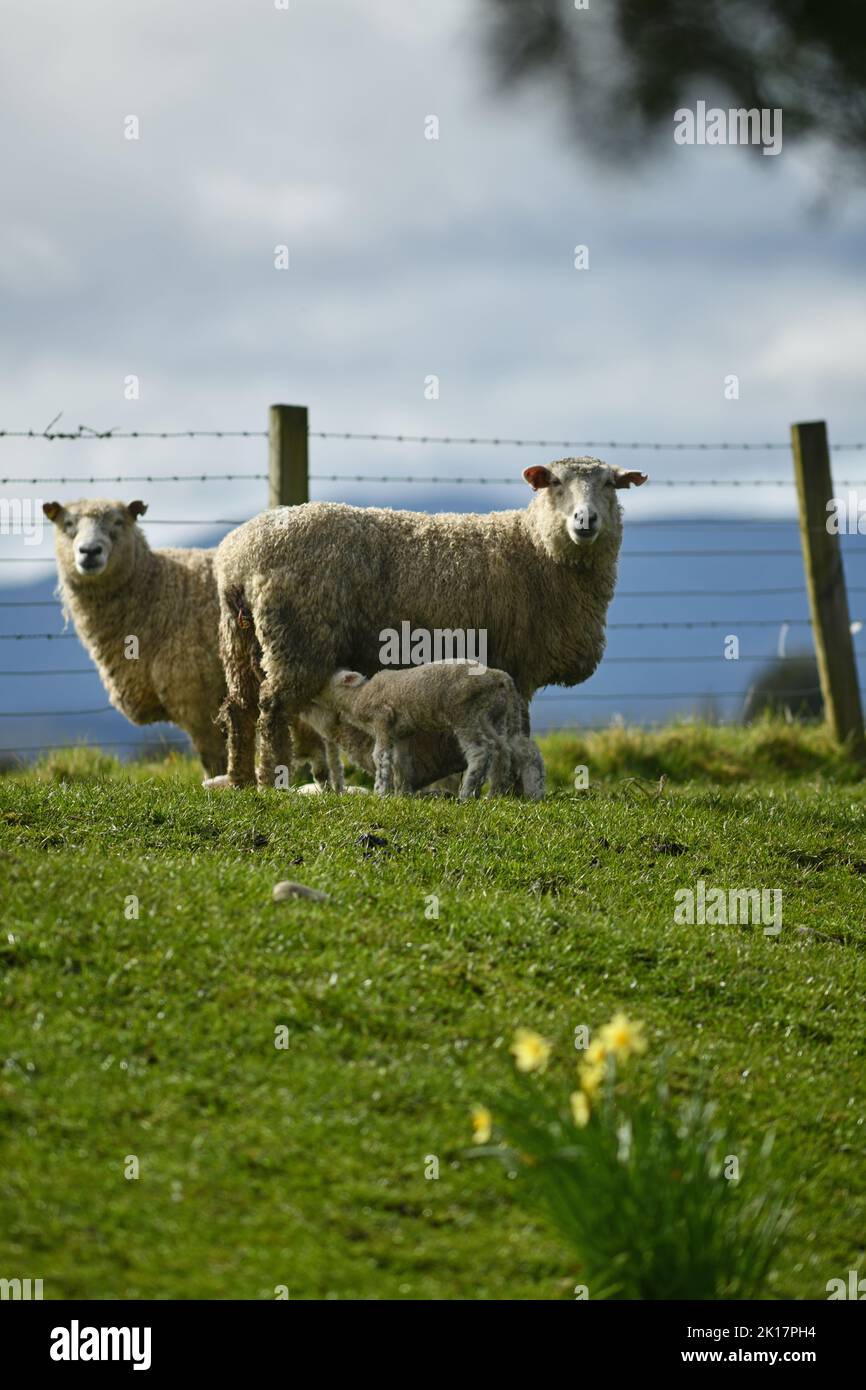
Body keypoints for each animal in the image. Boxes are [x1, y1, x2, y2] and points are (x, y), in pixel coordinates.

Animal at [214, 453, 647, 783]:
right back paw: (272, 779)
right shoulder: (517, 666)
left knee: (238, 708)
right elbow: (517, 732)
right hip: (297, 639)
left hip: (240, 640)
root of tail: (238, 555)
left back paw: (240, 781)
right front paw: (510, 788)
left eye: (610, 484)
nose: (585, 520)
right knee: (272, 709)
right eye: (555, 482)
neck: (536, 547)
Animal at [311, 658, 514, 800]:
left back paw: (467, 794)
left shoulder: (382, 719)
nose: (310, 695)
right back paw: (495, 793)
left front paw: (380, 792)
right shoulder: (402, 733)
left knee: (480, 751)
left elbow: (380, 757)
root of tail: (499, 677)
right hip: (492, 716)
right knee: (501, 750)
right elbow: (401, 762)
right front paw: (403, 794)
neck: (357, 697)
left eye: (324, 682)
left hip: (465, 713)